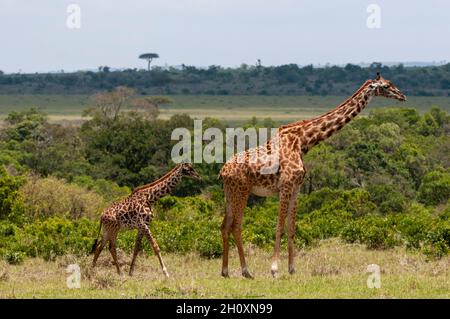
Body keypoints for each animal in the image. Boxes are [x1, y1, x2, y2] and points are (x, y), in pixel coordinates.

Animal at [220, 74, 406, 278]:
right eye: (387, 86)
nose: (402, 96)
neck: (303, 142)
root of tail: (223, 171)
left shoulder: (296, 188)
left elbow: (291, 228)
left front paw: (292, 269)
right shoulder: (285, 186)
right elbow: (279, 226)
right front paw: (274, 269)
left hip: (231, 194)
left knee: (225, 226)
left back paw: (225, 271)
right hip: (242, 192)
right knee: (236, 226)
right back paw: (246, 271)